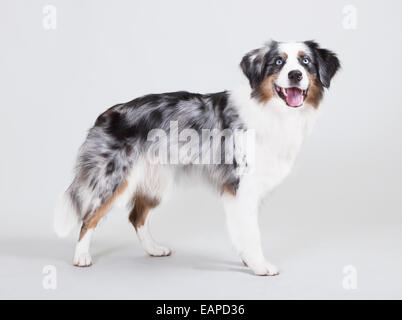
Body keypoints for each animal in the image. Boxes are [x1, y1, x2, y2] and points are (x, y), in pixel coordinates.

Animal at [55, 40, 340, 276]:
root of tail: (106, 114)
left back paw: (153, 249)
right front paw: (260, 265)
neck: (272, 111)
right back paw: (81, 257)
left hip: (157, 181)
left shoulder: (247, 190)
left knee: (136, 216)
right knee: (89, 216)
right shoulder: (241, 185)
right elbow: (252, 232)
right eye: (278, 62)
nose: (295, 75)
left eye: (306, 62)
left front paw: (248, 260)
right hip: (114, 178)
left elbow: (244, 230)